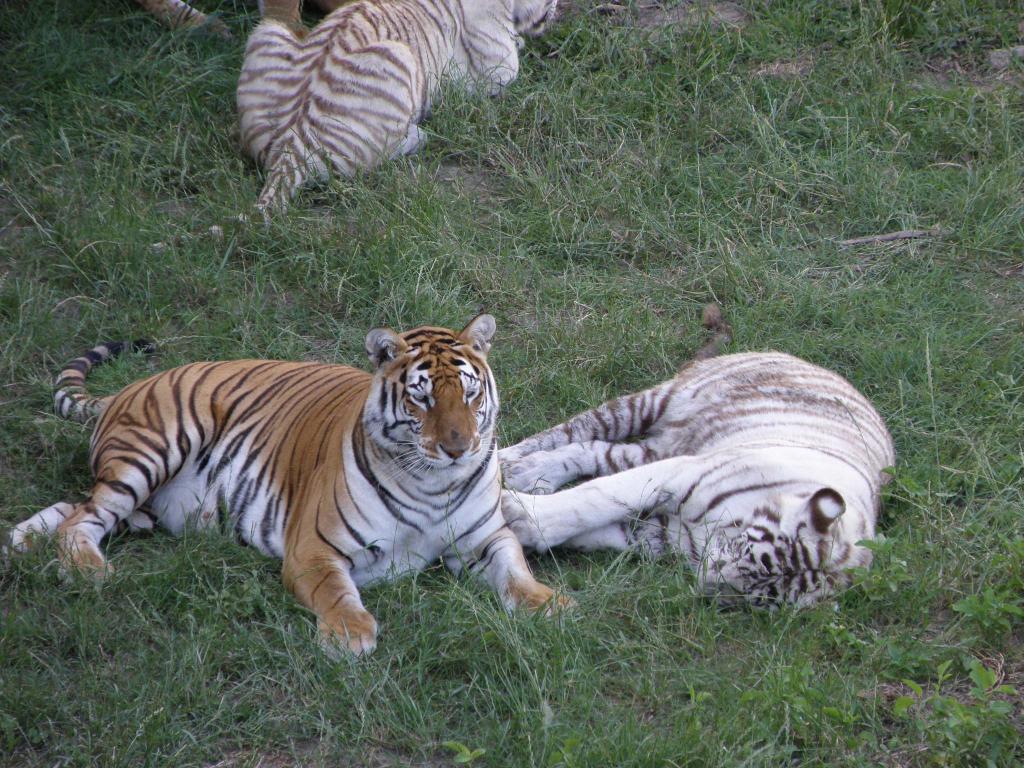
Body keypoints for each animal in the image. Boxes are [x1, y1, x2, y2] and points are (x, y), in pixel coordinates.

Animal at [8, 315, 565, 659]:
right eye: (422, 398)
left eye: (470, 394)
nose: (458, 447)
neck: (434, 482)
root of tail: (126, 389)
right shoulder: (312, 549)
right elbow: (336, 592)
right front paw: (350, 635)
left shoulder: (486, 538)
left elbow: (516, 568)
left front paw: (548, 604)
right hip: (154, 451)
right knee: (84, 516)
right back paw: (86, 569)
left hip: (145, 503)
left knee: (76, 503)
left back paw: (20, 540)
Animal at [237, 0, 561, 215]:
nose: (557, 8)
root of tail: (290, 147)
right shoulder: (496, 68)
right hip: (400, 56)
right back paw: (419, 135)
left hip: (269, 31)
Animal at [501, 307, 897, 606]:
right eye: (752, 555)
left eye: (761, 596)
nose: (708, 586)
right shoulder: (680, 472)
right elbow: (595, 499)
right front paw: (518, 512)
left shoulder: (663, 531)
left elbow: (607, 531)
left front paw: (522, 533)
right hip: (651, 404)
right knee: (575, 430)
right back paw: (508, 460)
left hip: (651, 449)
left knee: (592, 451)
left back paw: (533, 472)